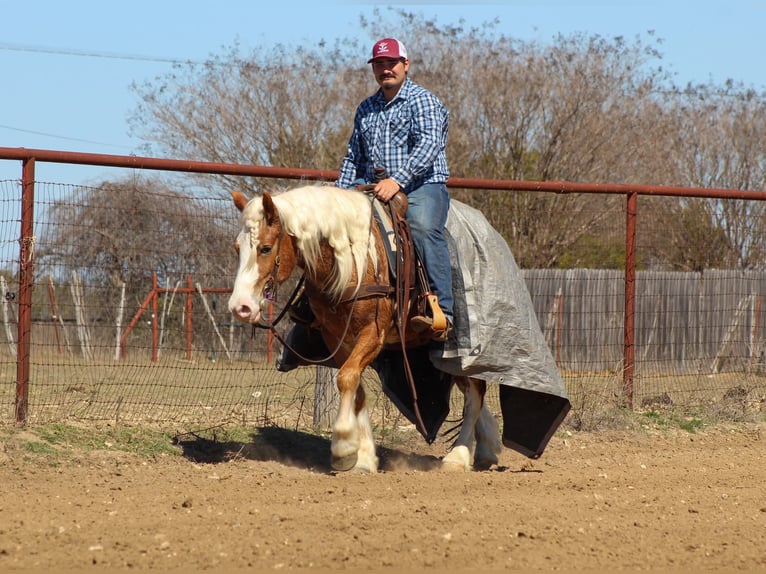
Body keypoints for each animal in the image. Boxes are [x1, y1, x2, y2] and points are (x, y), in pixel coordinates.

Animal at [228, 187, 504, 474]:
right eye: (237, 248)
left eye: (266, 248)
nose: (240, 307)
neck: (351, 263)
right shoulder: (337, 338)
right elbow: (356, 387)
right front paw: (363, 457)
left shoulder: (373, 334)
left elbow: (347, 378)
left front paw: (343, 448)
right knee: (471, 391)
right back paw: (487, 448)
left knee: (475, 391)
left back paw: (458, 456)